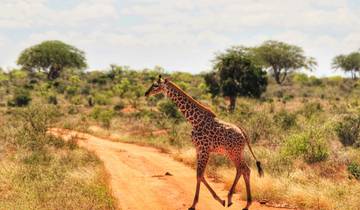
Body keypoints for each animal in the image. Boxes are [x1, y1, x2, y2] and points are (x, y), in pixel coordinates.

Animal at [145, 75, 262, 210]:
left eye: (155, 85)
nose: (146, 93)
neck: (194, 120)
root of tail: (243, 132)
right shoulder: (199, 149)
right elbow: (199, 174)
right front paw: (219, 200)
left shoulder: (205, 149)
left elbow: (200, 174)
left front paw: (195, 204)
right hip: (234, 152)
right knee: (243, 169)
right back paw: (234, 200)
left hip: (234, 152)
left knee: (244, 169)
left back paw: (242, 202)